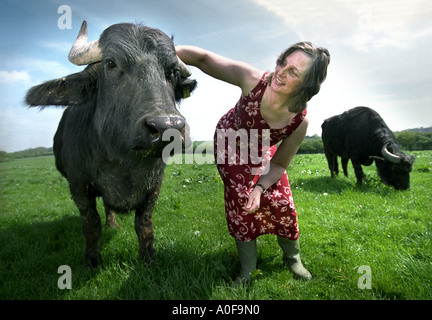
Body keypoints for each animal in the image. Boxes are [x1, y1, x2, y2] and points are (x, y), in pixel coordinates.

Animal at [24, 19, 197, 264]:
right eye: (111, 63)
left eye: (172, 72)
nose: (167, 126)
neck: (122, 160)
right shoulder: (78, 185)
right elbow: (91, 225)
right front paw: (92, 260)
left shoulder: (154, 184)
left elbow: (144, 224)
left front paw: (148, 257)